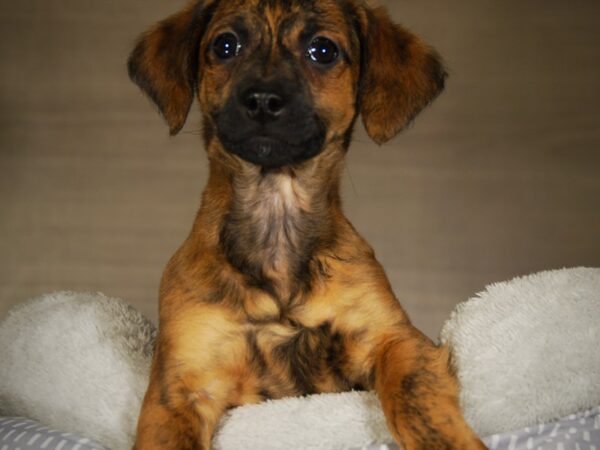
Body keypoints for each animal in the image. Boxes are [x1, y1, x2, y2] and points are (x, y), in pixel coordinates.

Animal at [129, 0, 486, 450]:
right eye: (225, 46)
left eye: (323, 50)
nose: (263, 100)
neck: (277, 223)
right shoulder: (179, 383)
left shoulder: (395, 339)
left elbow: (416, 400)